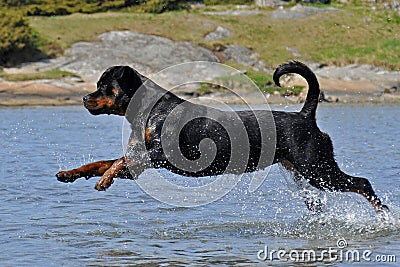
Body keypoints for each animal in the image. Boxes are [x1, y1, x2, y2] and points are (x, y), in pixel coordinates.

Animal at [56, 61, 388, 215]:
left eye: (104, 86)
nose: (84, 98)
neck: (148, 111)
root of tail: (305, 116)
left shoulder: (159, 157)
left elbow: (117, 162)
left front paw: (104, 180)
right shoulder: (142, 159)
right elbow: (102, 162)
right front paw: (71, 174)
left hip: (318, 169)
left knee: (362, 183)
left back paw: (383, 214)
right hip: (306, 174)